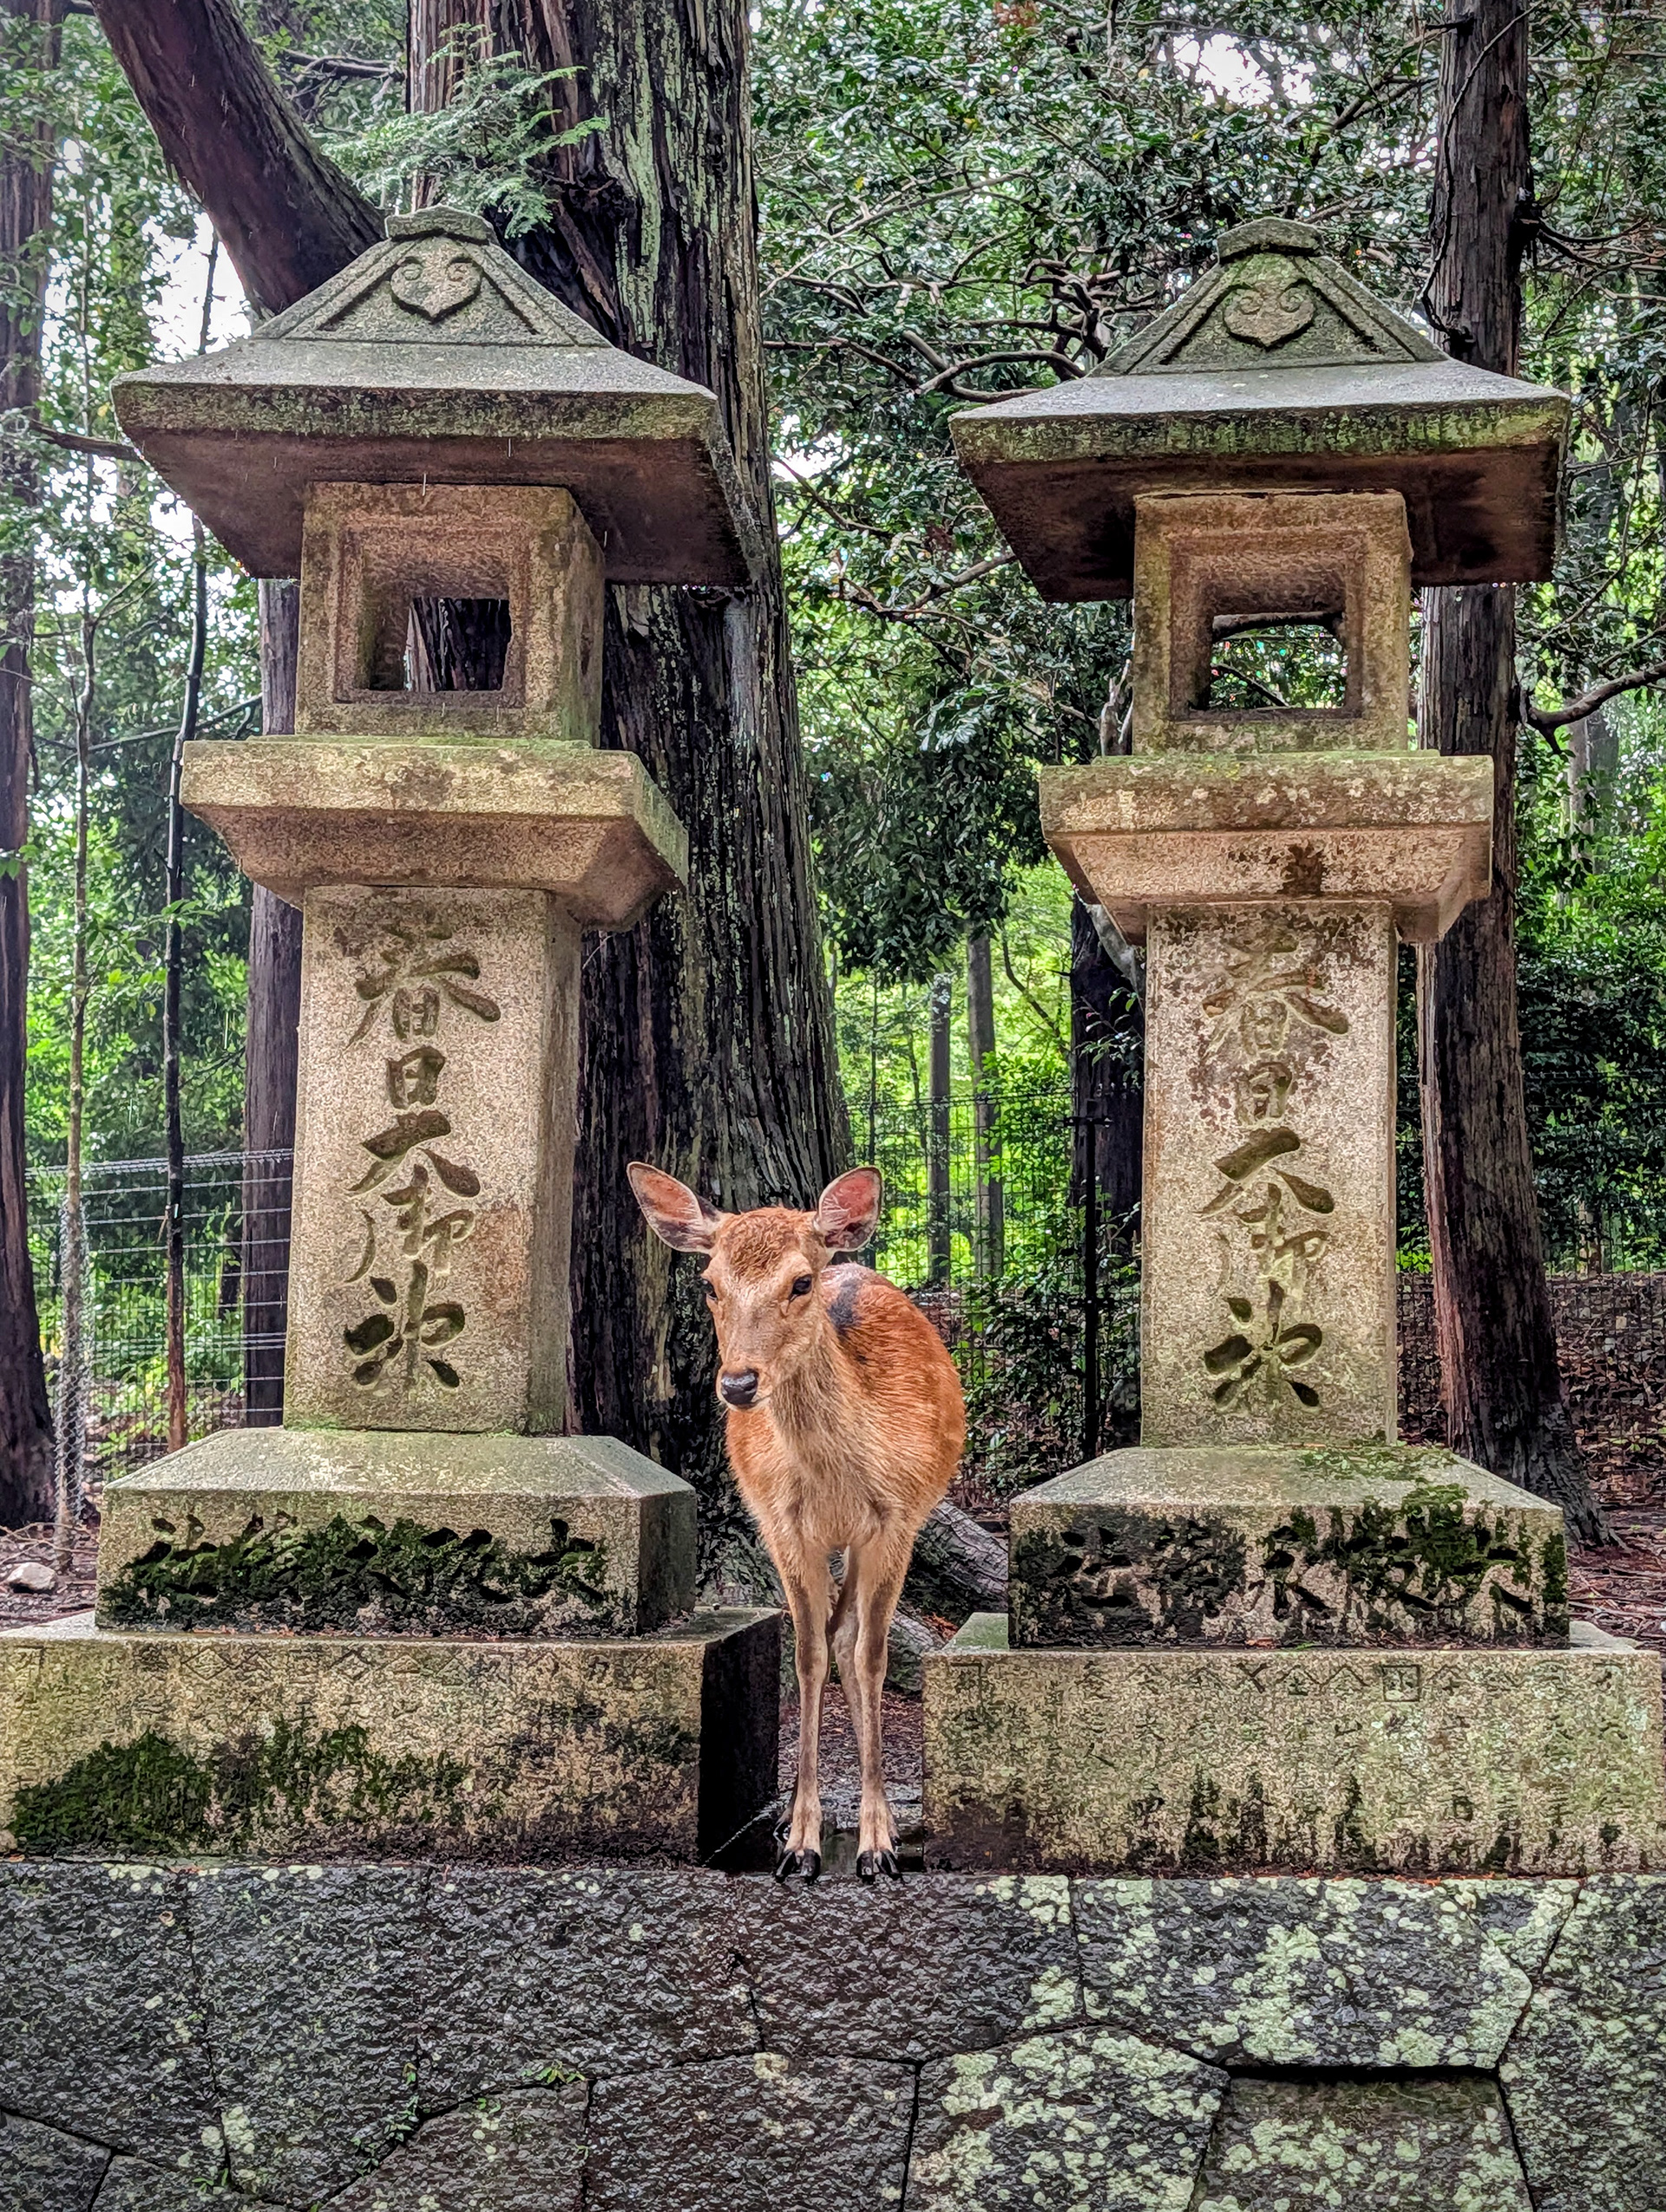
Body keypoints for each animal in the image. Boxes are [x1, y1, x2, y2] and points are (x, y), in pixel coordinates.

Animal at [627, 1162, 965, 1883]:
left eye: (800, 1281)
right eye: (709, 1284)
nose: (738, 1384)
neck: (836, 1476)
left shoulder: (896, 1519)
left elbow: (871, 1655)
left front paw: (877, 1846)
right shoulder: (782, 1526)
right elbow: (807, 1655)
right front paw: (802, 1844)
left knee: (854, 1637)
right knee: (833, 1635)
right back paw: (790, 1817)